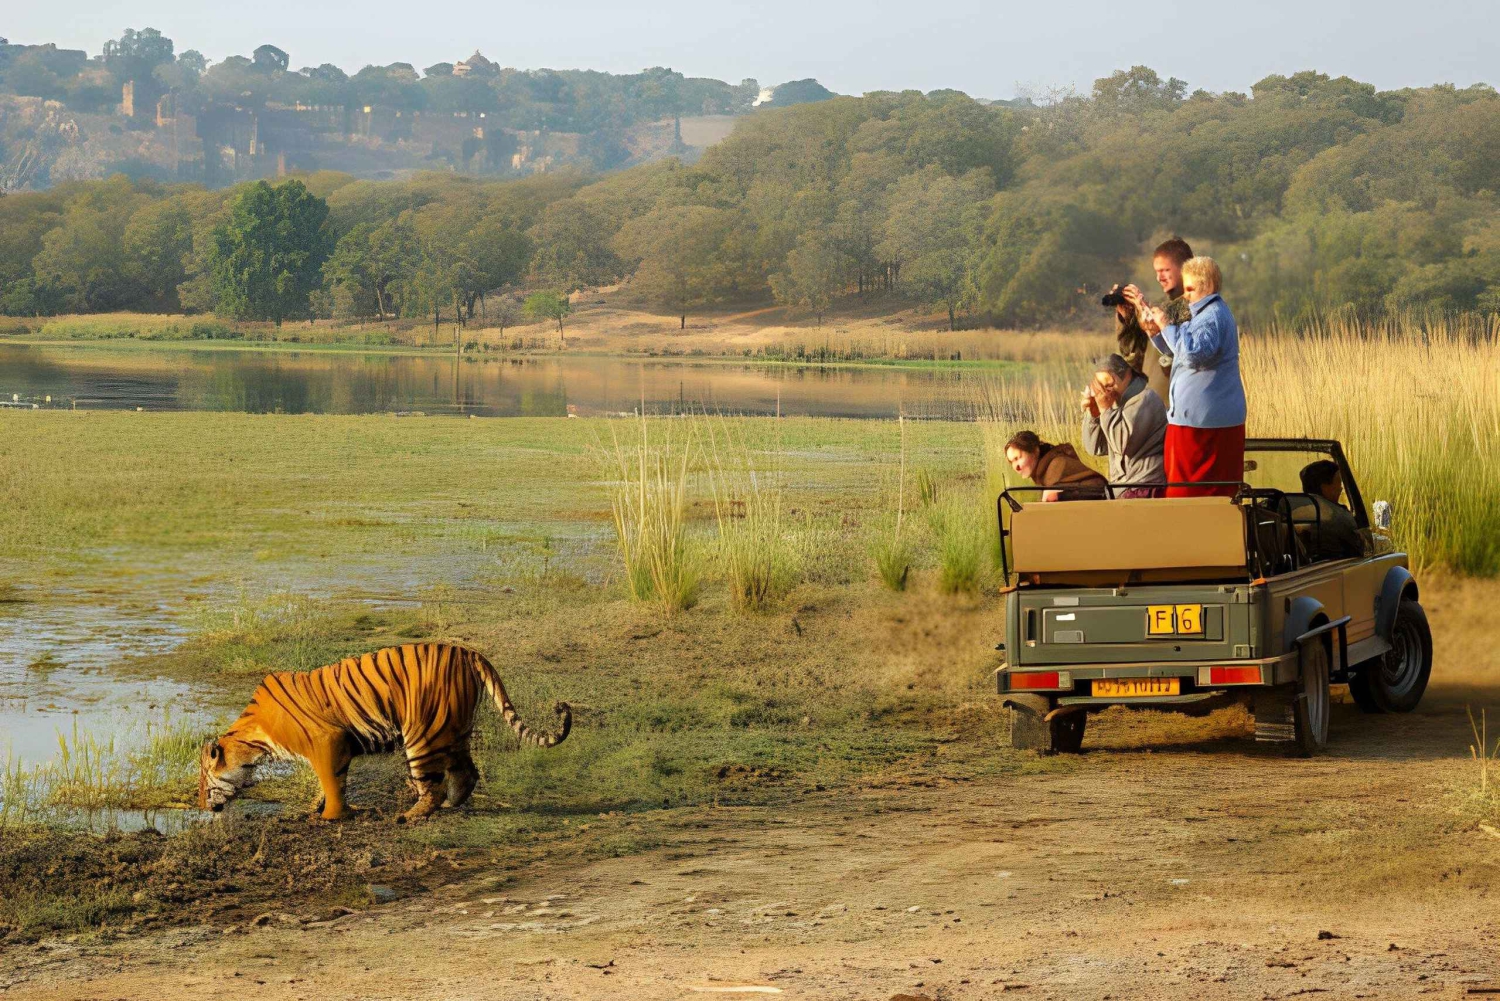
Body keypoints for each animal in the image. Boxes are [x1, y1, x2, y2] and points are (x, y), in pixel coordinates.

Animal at [198, 642, 571, 823]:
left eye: (203, 780)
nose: (201, 805)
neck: (253, 740)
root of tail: (469, 652)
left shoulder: (329, 741)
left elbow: (331, 781)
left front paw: (332, 817)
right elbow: (327, 782)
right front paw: (316, 808)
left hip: (422, 734)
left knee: (433, 786)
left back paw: (409, 816)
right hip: (455, 729)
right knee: (467, 772)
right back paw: (452, 804)